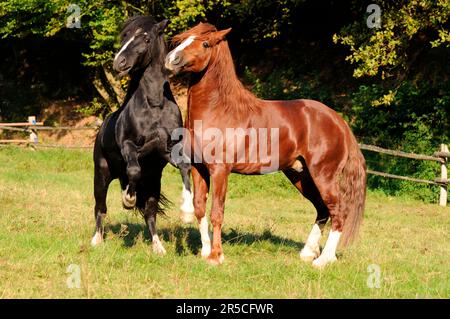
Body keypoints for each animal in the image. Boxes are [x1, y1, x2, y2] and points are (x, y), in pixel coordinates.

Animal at [91, 16, 193, 255]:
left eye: (146, 39)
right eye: (125, 37)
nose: (119, 62)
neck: (155, 105)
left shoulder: (169, 150)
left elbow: (186, 168)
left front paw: (187, 212)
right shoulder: (129, 146)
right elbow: (134, 170)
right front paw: (128, 200)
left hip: (154, 181)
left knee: (150, 213)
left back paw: (158, 247)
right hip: (102, 175)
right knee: (100, 207)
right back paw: (96, 240)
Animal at [165, 23, 366, 268]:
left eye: (205, 43)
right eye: (184, 38)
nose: (171, 59)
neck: (219, 110)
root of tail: (339, 122)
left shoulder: (220, 171)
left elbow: (217, 212)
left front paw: (216, 256)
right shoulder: (198, 168)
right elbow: (199, 208)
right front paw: (205, 251)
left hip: (324, 176)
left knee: (338, 211)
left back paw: (324, 259)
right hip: (300, 175)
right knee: (322, 209)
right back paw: (308, 253)